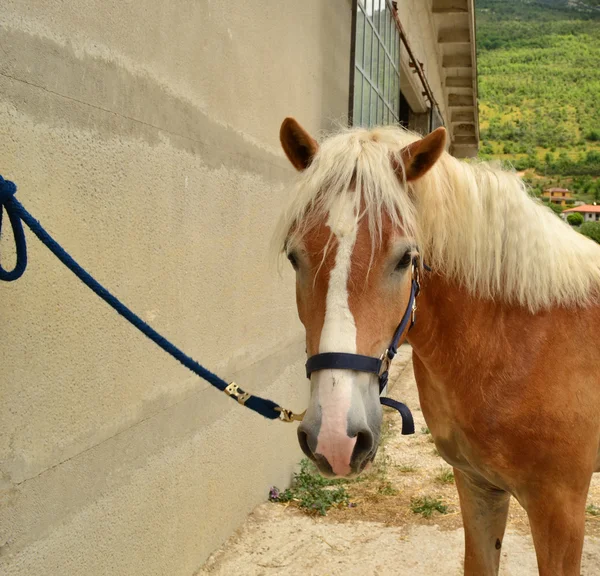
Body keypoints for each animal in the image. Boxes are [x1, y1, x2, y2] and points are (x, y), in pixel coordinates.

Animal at [274, 118, 600, 576]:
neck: (520, 340)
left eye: (404, 258)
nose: (336, 439)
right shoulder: (478, 486)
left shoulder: (561, 509)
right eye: (294, 256)